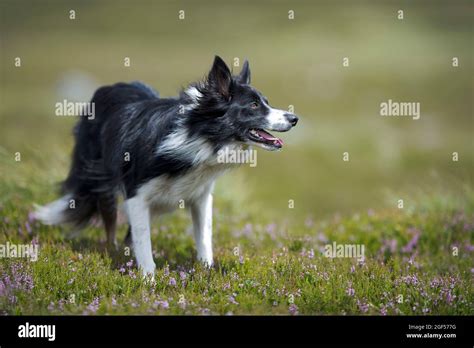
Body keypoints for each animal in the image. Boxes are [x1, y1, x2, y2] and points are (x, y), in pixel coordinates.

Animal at [35, 55, 298, 276]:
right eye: (253, 105)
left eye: (266, 102)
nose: (294, 118)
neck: (201, 136)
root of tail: (110, 87)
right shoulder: (136, 194)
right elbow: (143, 242)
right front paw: (148, 280)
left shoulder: (201, 196)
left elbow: (204, 238)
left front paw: (207, 273)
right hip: (102, 181)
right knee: (110, 226)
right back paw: (115, 254)